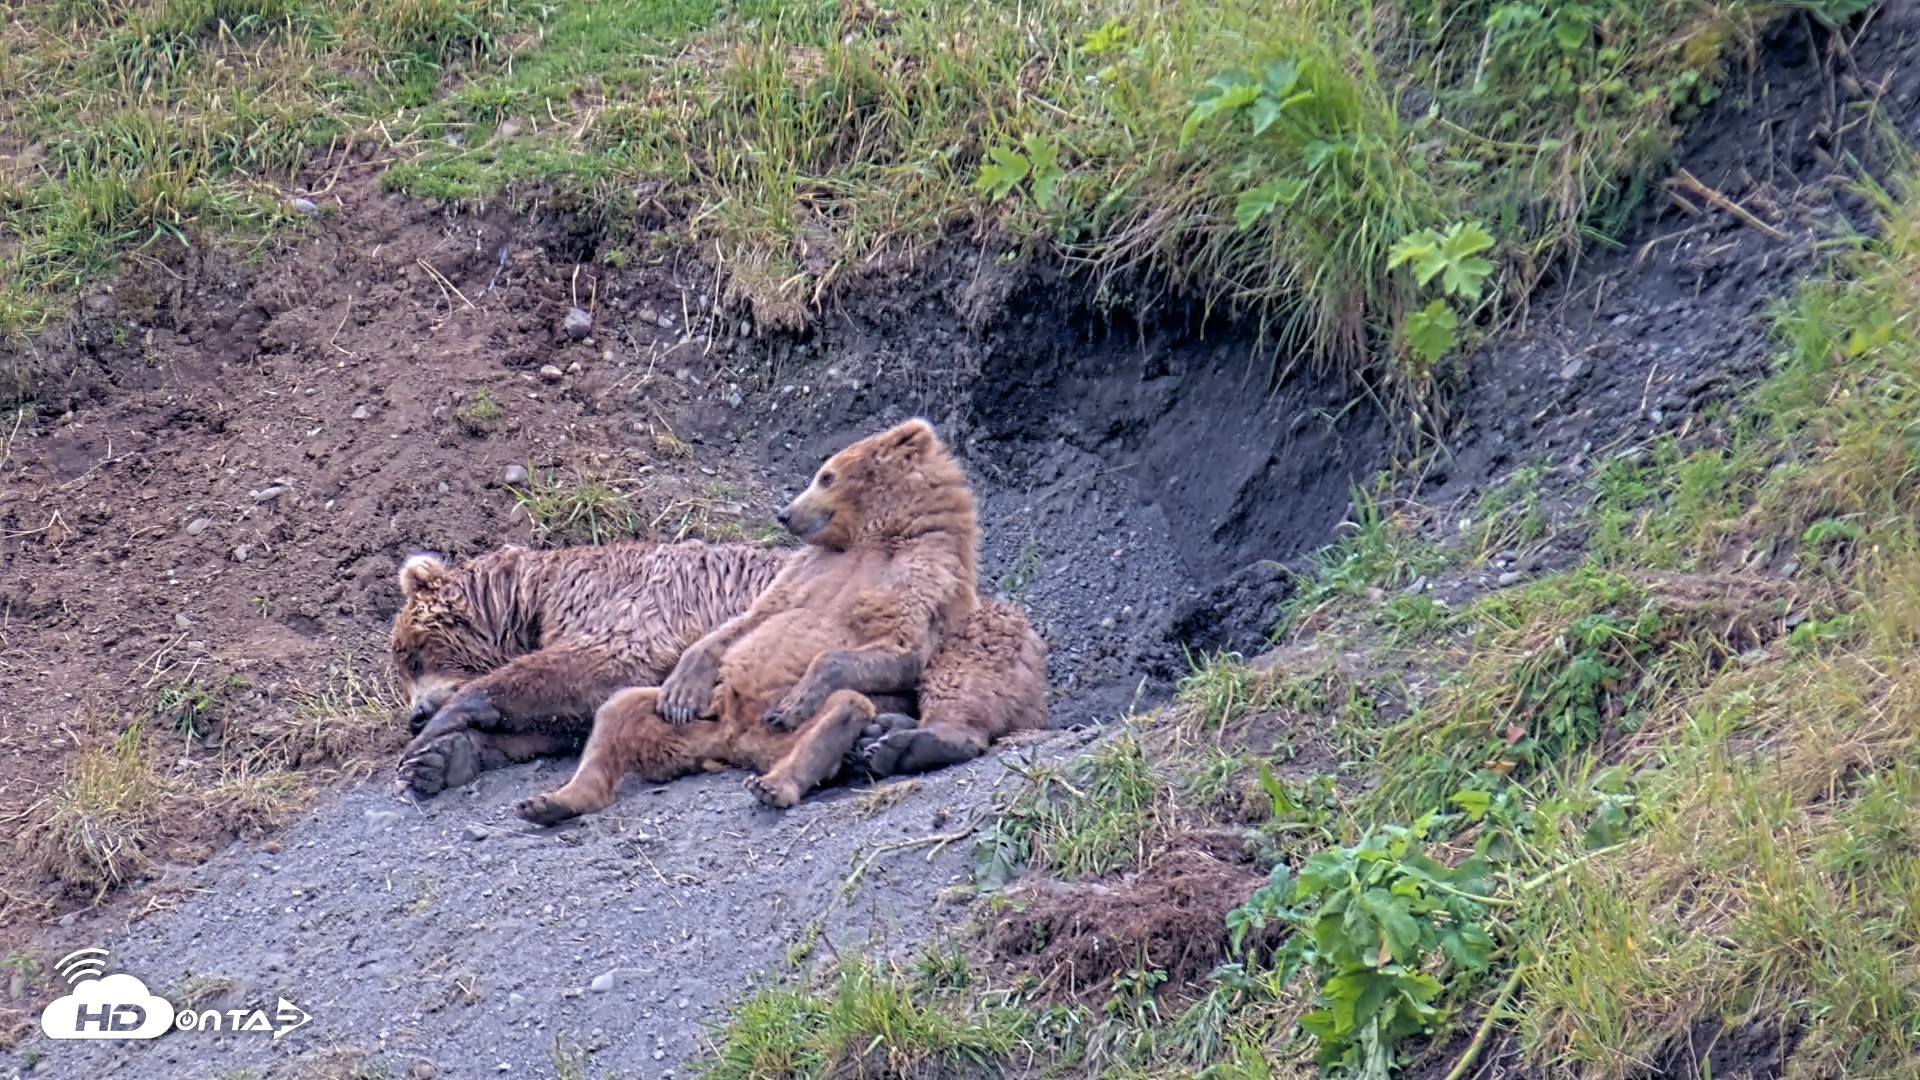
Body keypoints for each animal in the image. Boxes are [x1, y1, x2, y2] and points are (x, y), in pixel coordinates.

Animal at [387, 539, 788, 797]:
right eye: (405, 670)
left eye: (414, 659)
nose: (417, 716)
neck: (532, 601)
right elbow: (559, 719)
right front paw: (438, 760)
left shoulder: (623, 602)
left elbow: (601, 663)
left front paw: (443, 725)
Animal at [508, 416, 1010, 824]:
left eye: (825, 475)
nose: (785, 512)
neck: (879, 537)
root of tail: (735, 745)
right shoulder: (809, 567)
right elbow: (752, 617)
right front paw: (682, 685)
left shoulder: (923, 574)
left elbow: (898, 649)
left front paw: (799, 697)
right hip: (699, 722)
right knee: (619, 709)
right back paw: (552, 801)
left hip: (790, 728)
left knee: (844, 705)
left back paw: (779, 780)